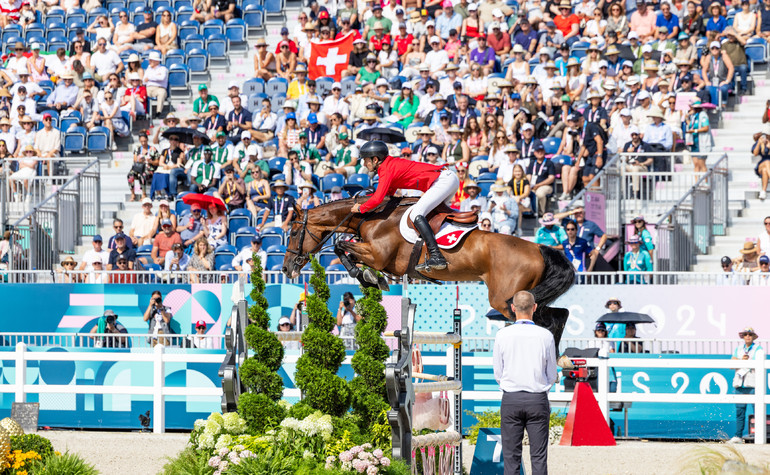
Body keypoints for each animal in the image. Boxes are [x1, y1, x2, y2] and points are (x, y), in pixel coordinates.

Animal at [280, 195, 568, 344]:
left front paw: (367, 276)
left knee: (541, 321)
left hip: (505, 299)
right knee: (559, 314)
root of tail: (537, 248)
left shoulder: (379, 255)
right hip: (527, 296)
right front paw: (370, 278)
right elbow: (346, 250)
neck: (371, 217)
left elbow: (341, 246)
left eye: (293, 233)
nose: (285, 269)